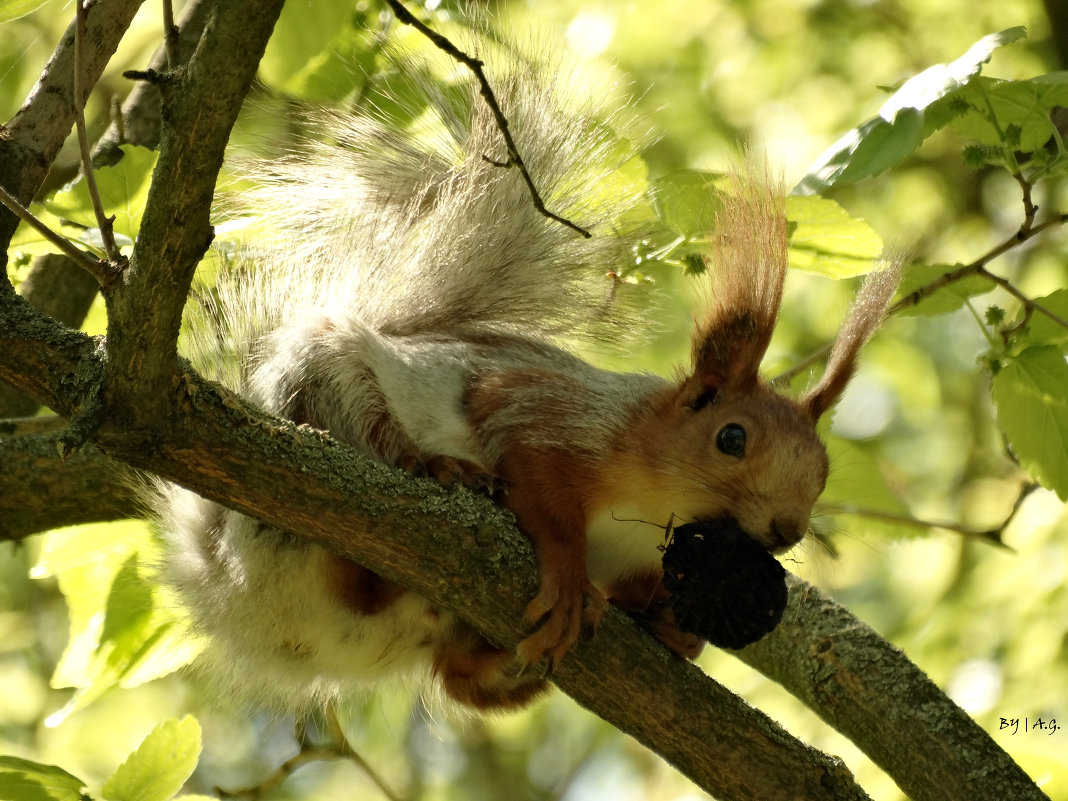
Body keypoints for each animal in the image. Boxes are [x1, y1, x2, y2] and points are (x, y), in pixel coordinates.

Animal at [150, 50, 901, 713]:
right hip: (327, 386)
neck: (651, 504)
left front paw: (672, 626)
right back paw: (440, 470)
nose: (785, 529)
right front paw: (568, 575)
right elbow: (537, 477)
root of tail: (226, 586)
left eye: (823, 468)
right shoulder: (547, 411)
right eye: (732, 437)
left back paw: (502, 666)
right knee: (372, 442)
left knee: (458, 677)